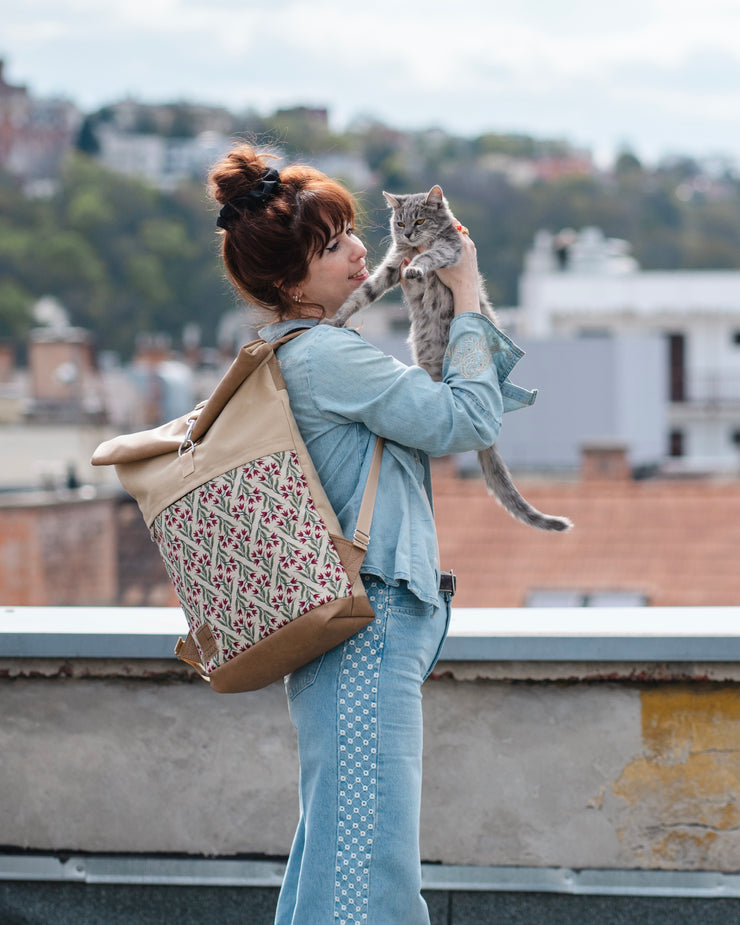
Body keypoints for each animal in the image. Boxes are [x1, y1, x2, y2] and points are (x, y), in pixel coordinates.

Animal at [325, 184, 572, 533]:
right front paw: (335, 320)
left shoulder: (450, 249)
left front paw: (418, 266)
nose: (409, 233)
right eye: (400, 223)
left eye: (419, 220)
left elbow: (429, 256)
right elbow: (361, 294)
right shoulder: (391, 264)